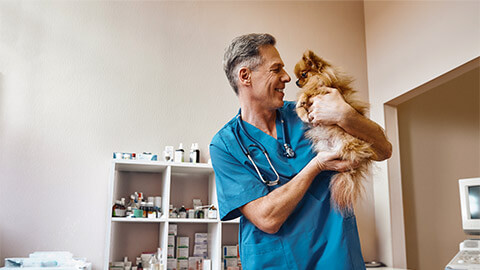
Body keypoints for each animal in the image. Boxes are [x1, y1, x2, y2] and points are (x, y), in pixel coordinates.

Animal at [292, 50, 376, 211]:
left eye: (303, 74)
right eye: (298, 77)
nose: (296, 82)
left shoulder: (321, 89)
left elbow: (307, 93)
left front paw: (302, 102)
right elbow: (300, 106)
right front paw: (303, 112)